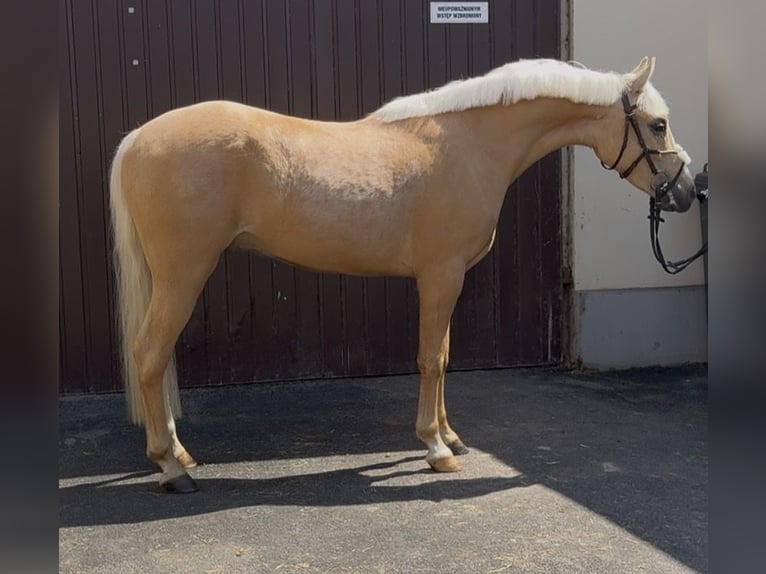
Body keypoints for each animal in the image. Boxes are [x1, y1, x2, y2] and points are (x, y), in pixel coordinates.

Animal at [110, 56, 697, 493]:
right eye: (658, 124)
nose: (687, 192)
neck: (468, 146)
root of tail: (138, 137)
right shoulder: (441, 276)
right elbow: (430, 359)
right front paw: (436, 449)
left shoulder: (448, 279)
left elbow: (444, 356)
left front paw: (452, 438)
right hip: (183, 274)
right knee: (149, 354)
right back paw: (171, 467)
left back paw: (179, 454)